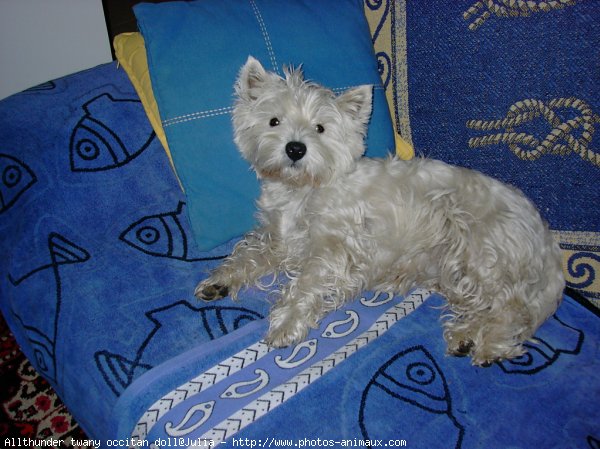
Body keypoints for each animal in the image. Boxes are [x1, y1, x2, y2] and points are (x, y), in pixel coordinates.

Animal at [196, 57, 564, 364]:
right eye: (274, 121)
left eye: (320, 128)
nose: (295, 149)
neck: (302, 190)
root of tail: (547, 241)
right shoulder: (280, 238)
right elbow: (251, 252)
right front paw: (220, 281)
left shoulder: (335, 247)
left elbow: (306, 281)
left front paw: (286, 322)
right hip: (456, 272)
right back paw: (465, 337)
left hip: (481, 252)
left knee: (512, 309)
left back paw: (488, 345)